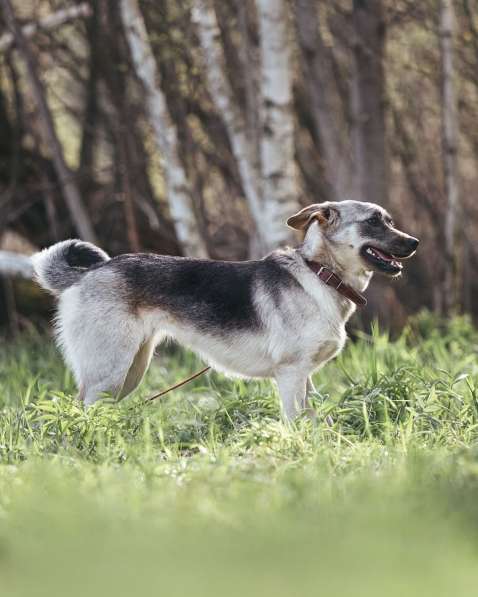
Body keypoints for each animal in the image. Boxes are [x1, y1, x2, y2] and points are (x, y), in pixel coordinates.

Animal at [31, 200, 418, 420]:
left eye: (389, 220)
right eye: (373, 221)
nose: (415, 242)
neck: (319, 274)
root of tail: (93, 271)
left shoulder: (304, 378)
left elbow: (312, 420)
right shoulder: (291, 375)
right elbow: (296, 424)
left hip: (129, 373)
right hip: (110, 373)